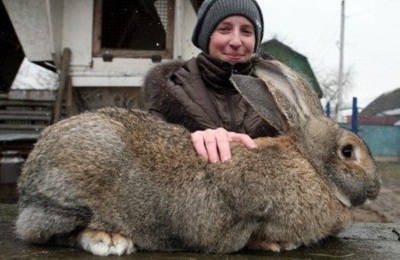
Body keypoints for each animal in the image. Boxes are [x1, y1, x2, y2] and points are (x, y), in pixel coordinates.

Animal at [15, 58, 382, 255]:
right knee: (46, 232)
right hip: (74, 190)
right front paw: (279, 245)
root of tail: (27, 181)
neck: (311, 166)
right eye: (348, 151)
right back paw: (109, 240)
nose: (376, 188)